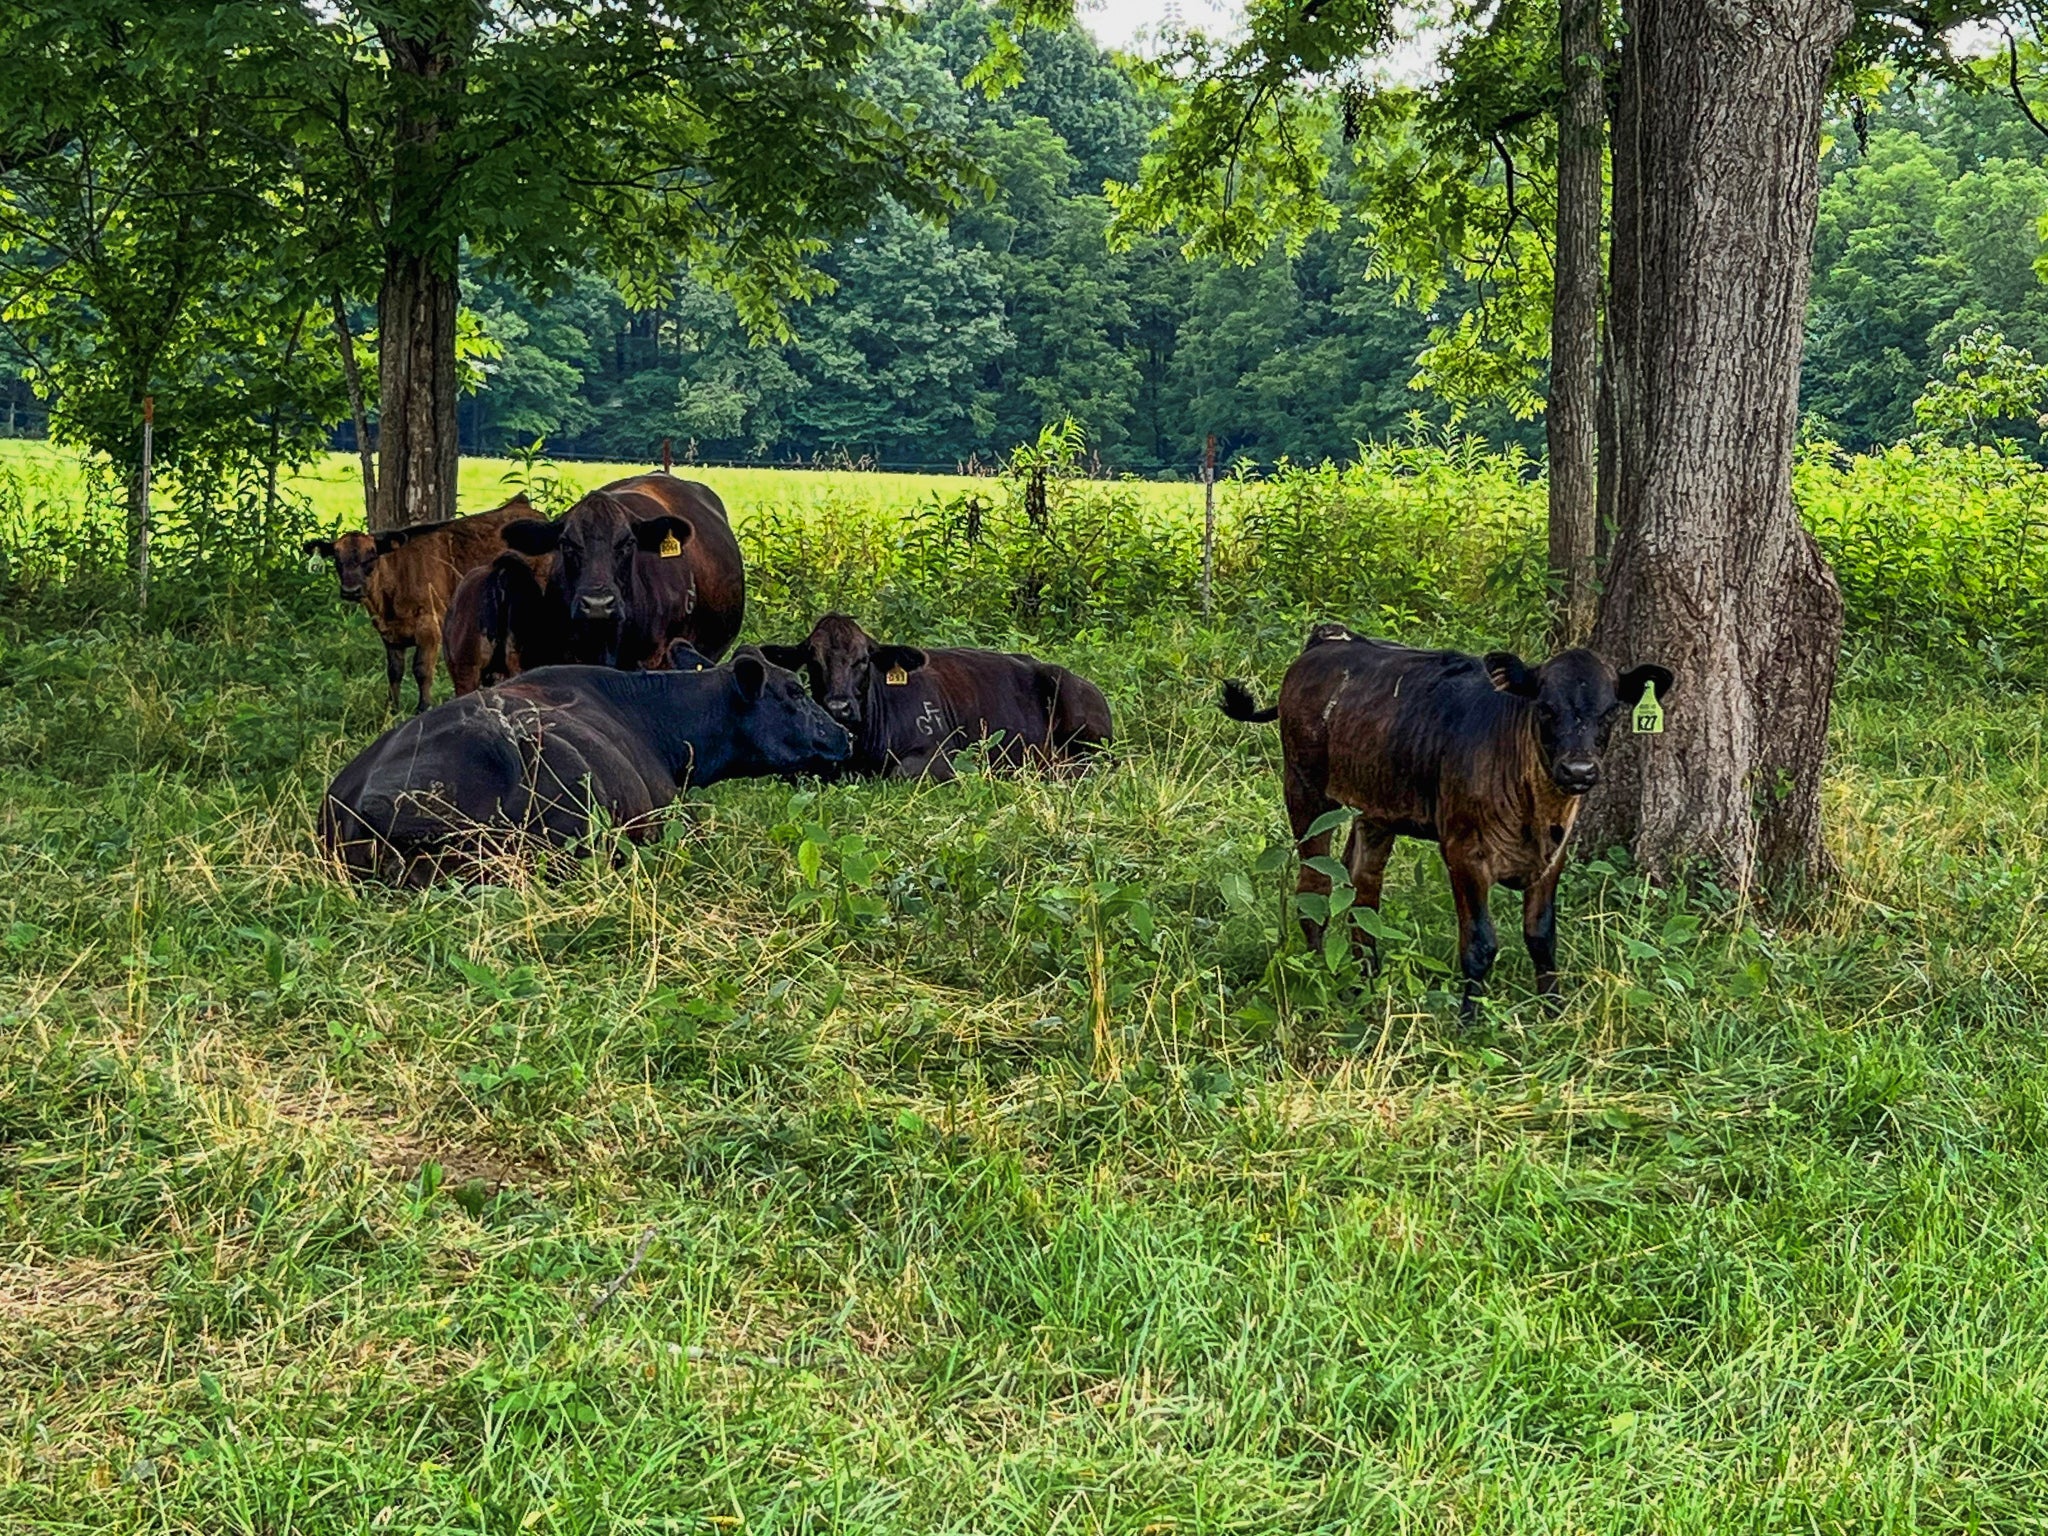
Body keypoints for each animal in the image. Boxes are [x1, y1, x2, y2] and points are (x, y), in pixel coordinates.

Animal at [305, 499, 536, 716]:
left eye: (371, 557)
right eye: (337, 559)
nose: (350, 590)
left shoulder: (429, 626)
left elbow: (422, 669)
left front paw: (423, 708)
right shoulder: (389, 635)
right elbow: (394, 671)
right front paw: (392, 710)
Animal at [1220, 626, 1671, 1024]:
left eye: (1610, 712)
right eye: (1545, 707)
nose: (1579, 770)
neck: (1538, 811)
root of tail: (1328, 638)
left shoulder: (1553, 858)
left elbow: (1542, 937)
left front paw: (1554, 1013)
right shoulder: (1463, 851)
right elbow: (1480, 943)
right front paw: (1469, 1023)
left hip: (1377, 809)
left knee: (1363, 890)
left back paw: (1367, 981)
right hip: (1305, 789)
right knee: (1314, 889)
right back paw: (1319, 975)